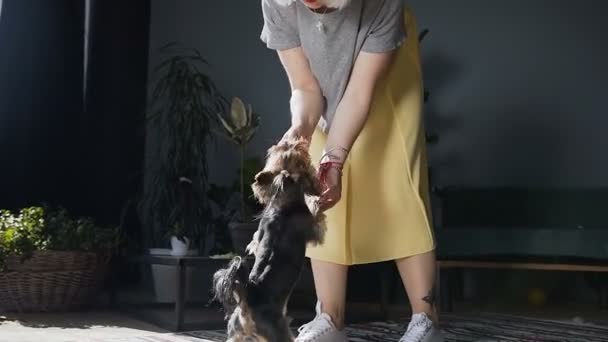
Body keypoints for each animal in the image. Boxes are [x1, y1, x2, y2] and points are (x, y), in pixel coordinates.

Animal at [214, 138, 328, 340]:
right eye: (300, 158)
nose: (297, 141)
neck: (283, 204)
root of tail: (247, 301)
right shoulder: (311, 225)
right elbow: (316, 218)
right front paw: (316, 201)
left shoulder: (260, 232)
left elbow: (254, 241)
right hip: (277, 331)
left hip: (235, 332)